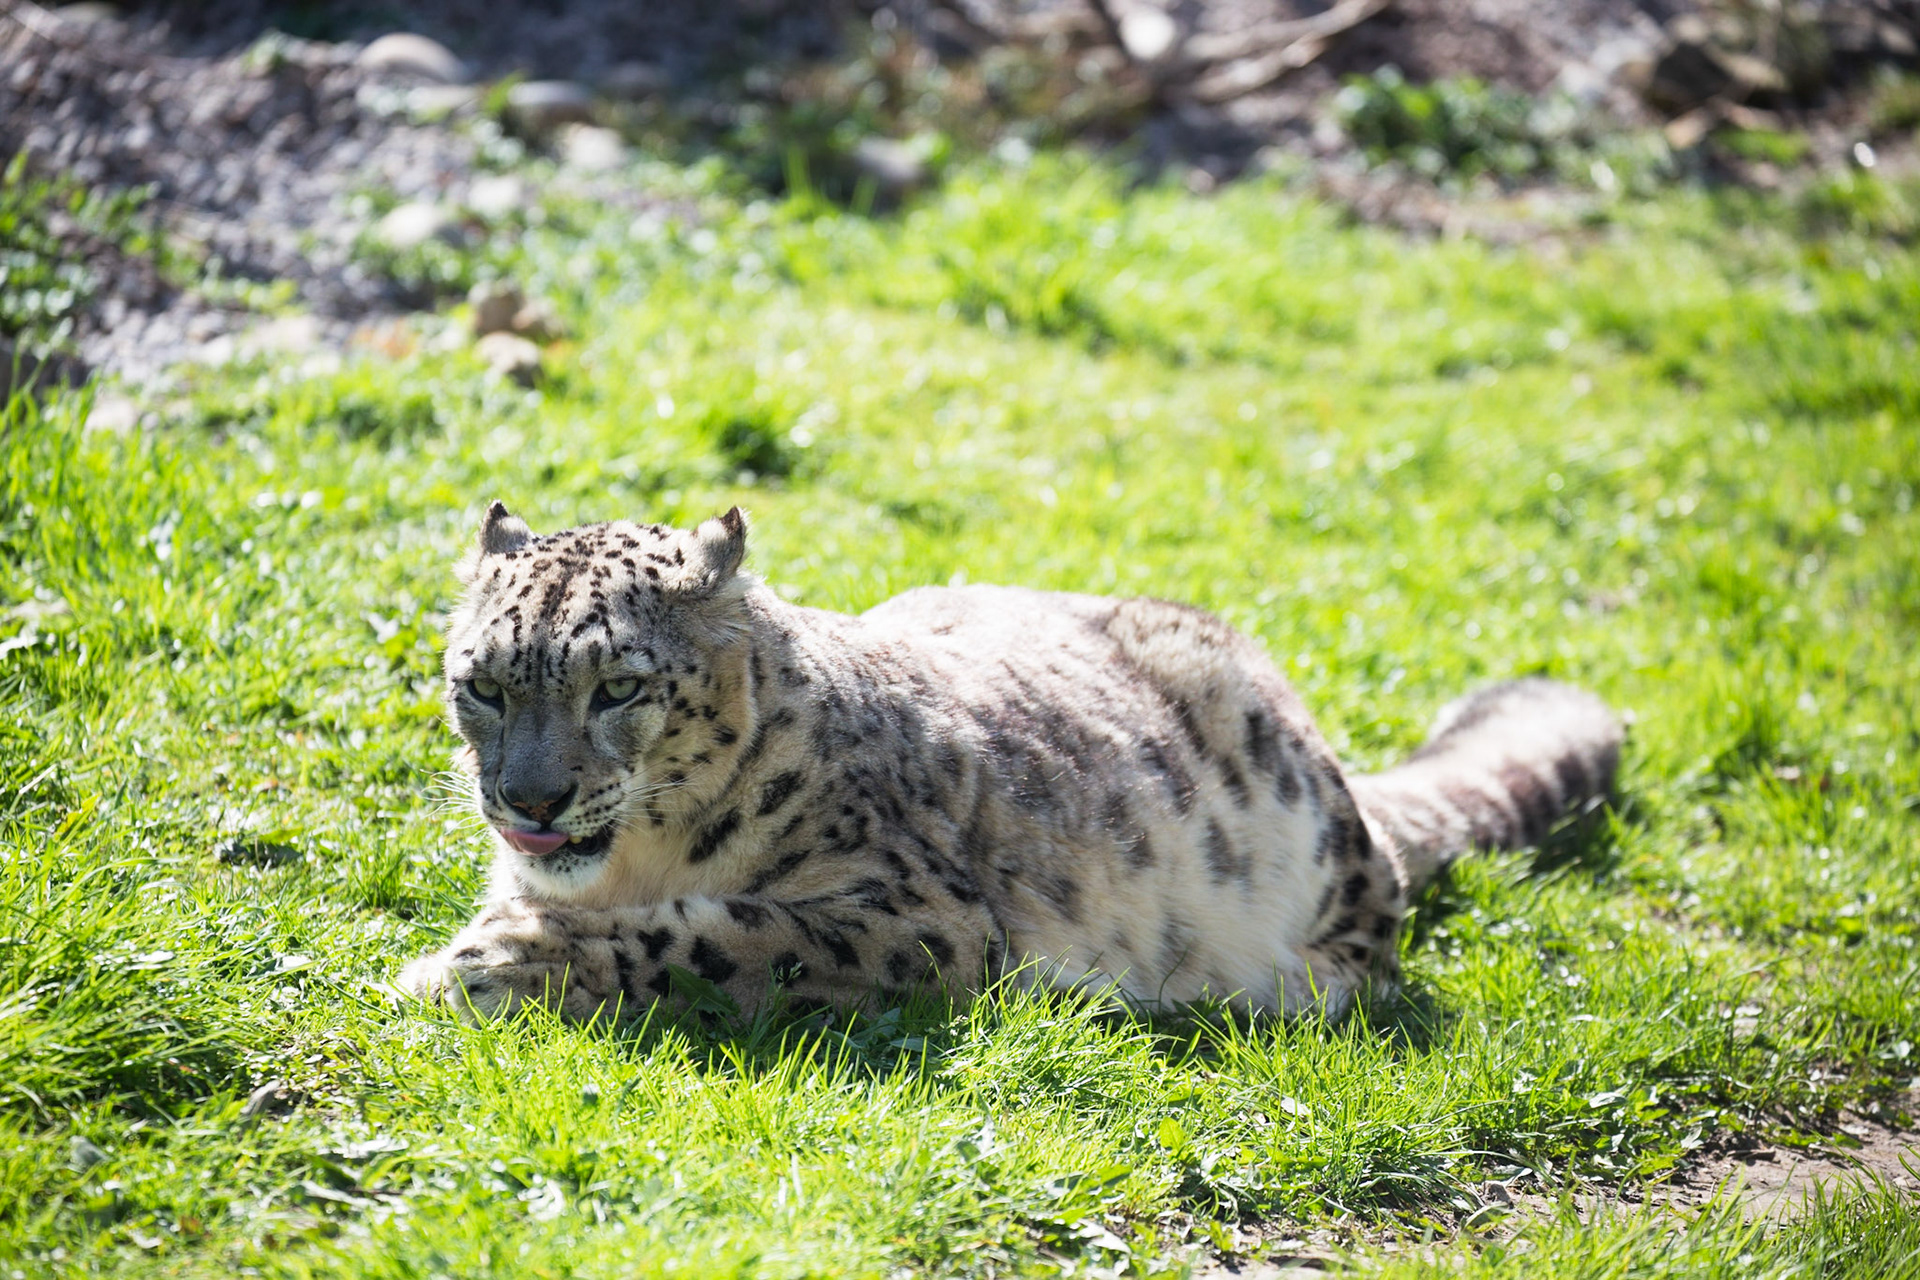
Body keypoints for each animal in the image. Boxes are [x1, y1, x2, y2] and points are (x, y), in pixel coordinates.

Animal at [401, 502, 1622, 1022]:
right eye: (484, 683)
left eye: (618, 685)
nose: (528, 795)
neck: (633, 862)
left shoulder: (918, 917)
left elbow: (727, 936)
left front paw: (492, 961)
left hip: (1312, 840)